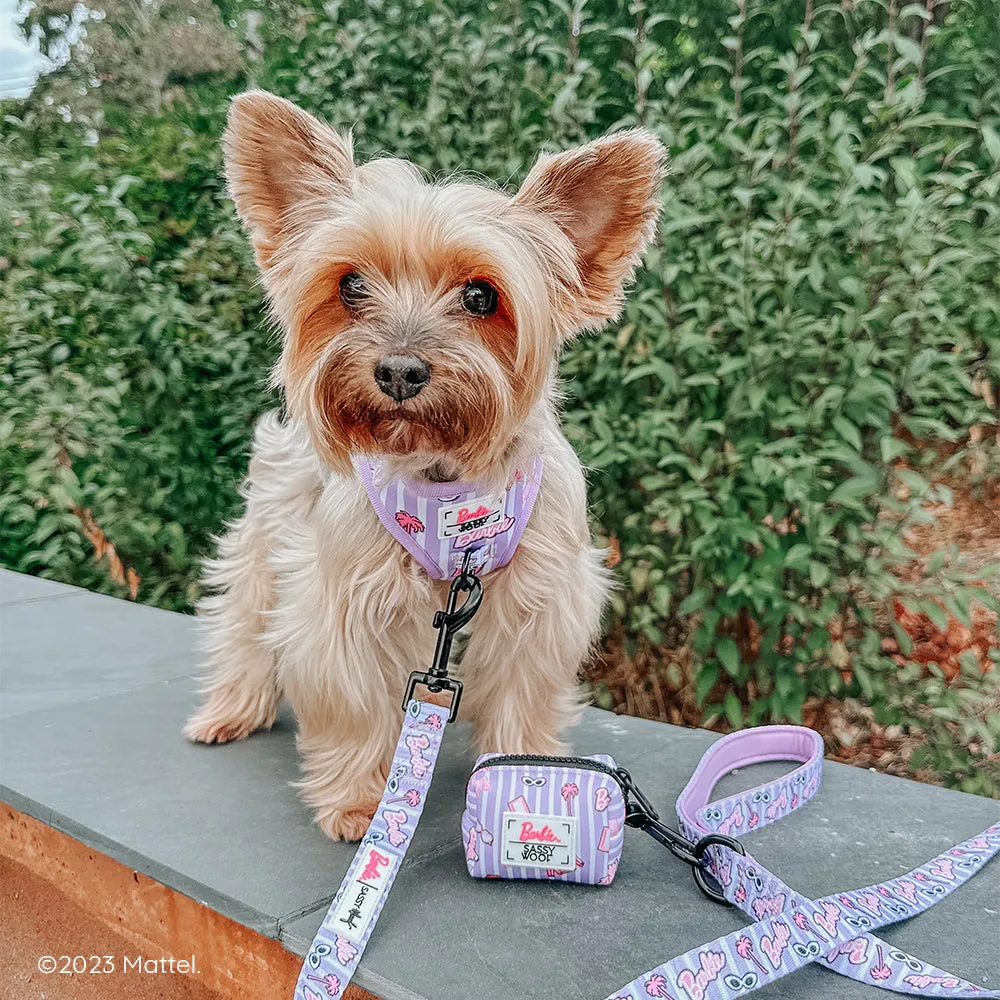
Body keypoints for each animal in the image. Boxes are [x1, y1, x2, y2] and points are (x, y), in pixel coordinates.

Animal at [184, 92, 668, 844]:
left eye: (481, 296)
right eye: (351, 285)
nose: (399, 371)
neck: (447, 477)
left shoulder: (537, 602)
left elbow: (522, 691)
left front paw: (527, 781)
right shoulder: (346, 599)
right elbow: (354, 697)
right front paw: (360, 803)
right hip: (270, 526)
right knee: (243, 613)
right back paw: (230, 708)